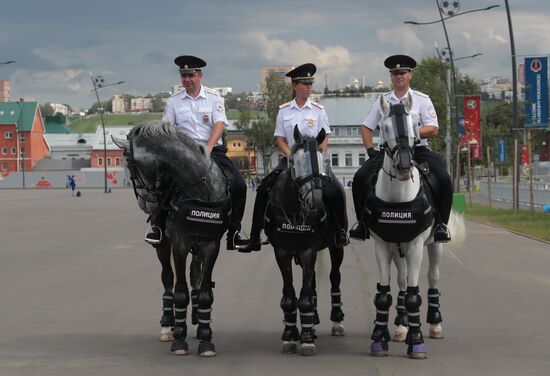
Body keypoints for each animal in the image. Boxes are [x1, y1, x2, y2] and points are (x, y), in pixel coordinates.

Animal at [113, 122, 232, 356]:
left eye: (129, 165)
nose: (145, 203)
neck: (200, 189)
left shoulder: (211, 245)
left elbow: (205, 291)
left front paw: (206, 337)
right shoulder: (179, 245)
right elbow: (179, 292)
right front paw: (179, 338)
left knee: (195, 275)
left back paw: (197, 320)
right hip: (163, 245)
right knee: (167, 279)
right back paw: (168, 325)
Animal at [266, 125, 348, 356]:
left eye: (324, 160)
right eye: (297, 162)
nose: (317, 202)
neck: (294, 210)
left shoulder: (309, 251)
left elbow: (304, 298)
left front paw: (307, 339)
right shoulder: (282, 252)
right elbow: (290, 296)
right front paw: (290, 335)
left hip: (336, 248)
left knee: (335, 277)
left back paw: (336, 322)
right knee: (311, 285)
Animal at [366, 94, 466, 358]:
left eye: (415, 125)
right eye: (384, 127)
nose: (403, 167)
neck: (398, 198)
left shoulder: (415, 246)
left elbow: (414, 295)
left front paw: (417, 341)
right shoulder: (383, 246)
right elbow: (384, 294)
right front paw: (380, 338)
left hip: (434, 246)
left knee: (432, 279)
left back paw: (434, 325)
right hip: (397, 249)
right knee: (401, 282)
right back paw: (401, 328)